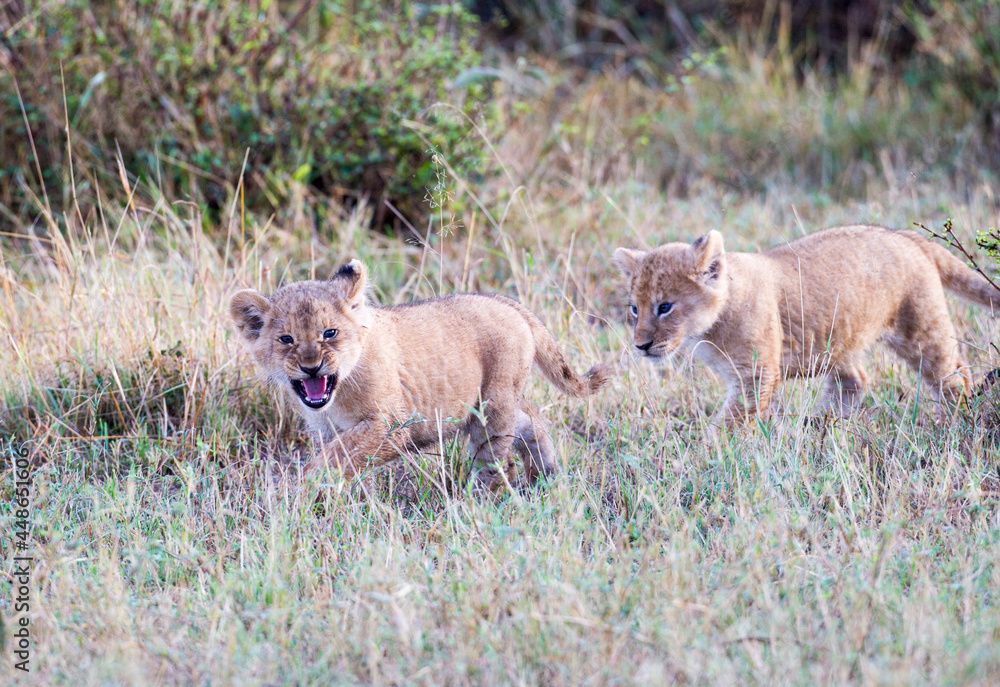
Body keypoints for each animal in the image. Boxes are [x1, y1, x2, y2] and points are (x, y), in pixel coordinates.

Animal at [230, 259, 612, 489]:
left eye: (329, 333)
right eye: (286, 339)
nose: (311, 366)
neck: (336, 396)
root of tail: (507, 302)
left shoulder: (392, 426)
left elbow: (335, 459)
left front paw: (298, 493)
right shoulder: (328, 431)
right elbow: (340, 459)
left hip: (492, 406)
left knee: (494, 457)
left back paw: (484, 499)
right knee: (529, 419)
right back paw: (545, 475)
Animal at [613, 225, 998, 427]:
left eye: (665, 307)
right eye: (635, 309)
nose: (641, 345)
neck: (708, 331)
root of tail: (907, 236)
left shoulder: (756, 376)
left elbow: (730, 422)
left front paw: (707, 456)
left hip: (921, 331)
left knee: (954, 376)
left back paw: (958, 421)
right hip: (839, 337)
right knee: (855, 379)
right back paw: (822, 425)